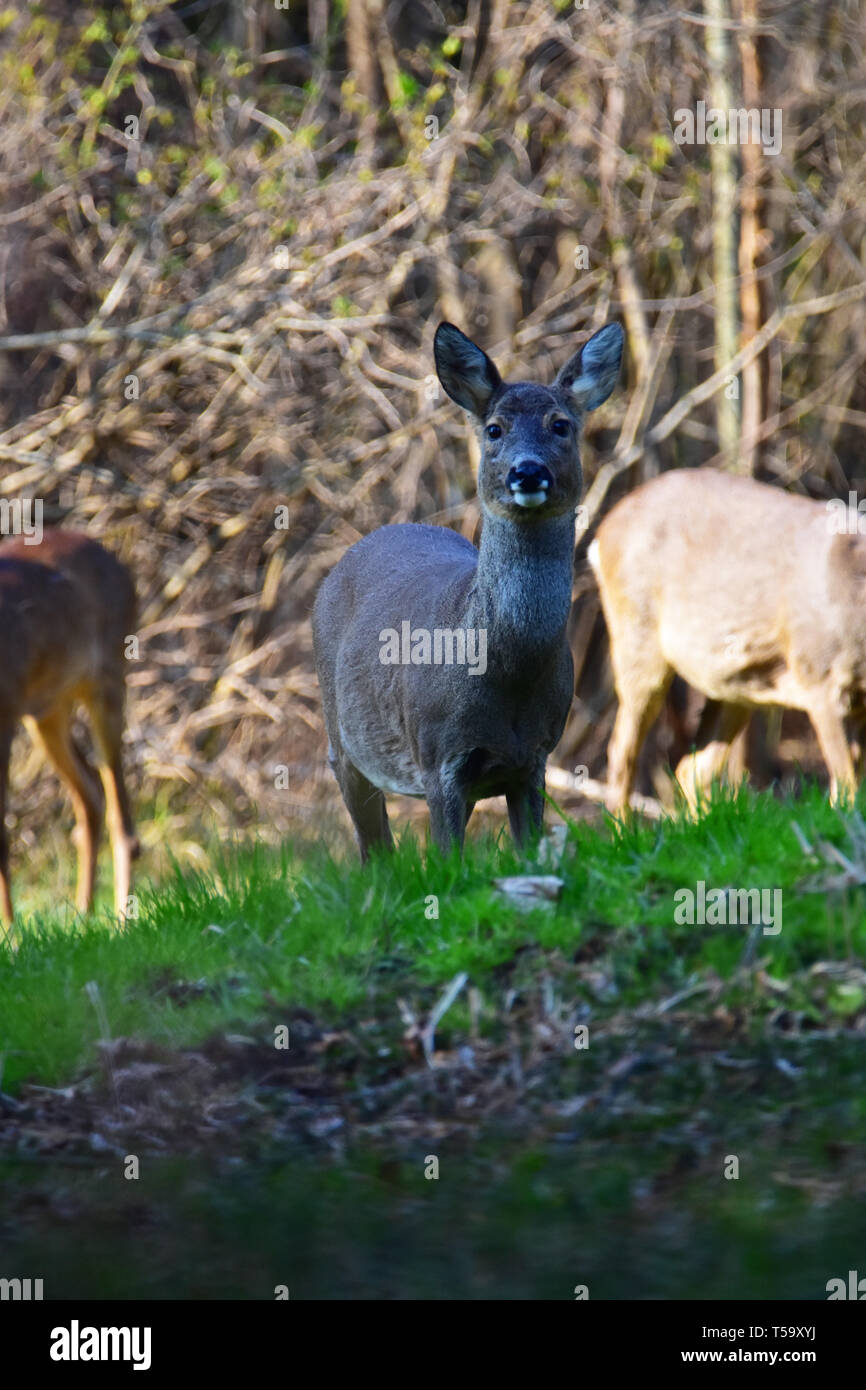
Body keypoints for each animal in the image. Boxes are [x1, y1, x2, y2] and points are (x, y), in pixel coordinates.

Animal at [0, 528, 139, 931]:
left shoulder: (6, 711)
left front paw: (11, 933)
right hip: (49, 708)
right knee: (91, 792)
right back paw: (83, 914)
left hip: (107, 675)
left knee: (120, 811)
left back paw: (123, 920)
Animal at [313, 318, 624, 858]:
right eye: (495, 429)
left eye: (560, 424)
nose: (528, 470)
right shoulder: (438, 757)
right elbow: (446, 857)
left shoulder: (534, 758)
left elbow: (526, 847)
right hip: (342, 740)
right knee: (372, 843)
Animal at [589, 466, 866, 811]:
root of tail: (601, 535)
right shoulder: (820, 676)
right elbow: (847, 788)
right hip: (636, 637)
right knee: (621, 752)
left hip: (737, 682)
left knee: (692, 769)